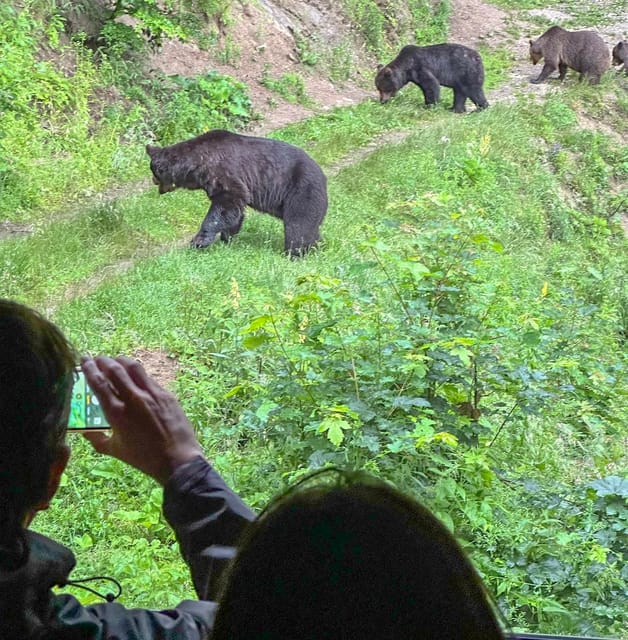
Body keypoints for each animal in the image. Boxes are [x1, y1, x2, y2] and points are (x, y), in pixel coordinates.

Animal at [146, 130, 328, 257]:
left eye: (155, 172)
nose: (154, 181)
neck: (197, 165)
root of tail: (323, 177)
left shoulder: (223, 173)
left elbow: (227, 203)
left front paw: (199, 241)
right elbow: (233, 211)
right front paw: (227, 238)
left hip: (301, 191)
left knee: (298, 225)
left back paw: (295, 253)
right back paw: (318, 246)